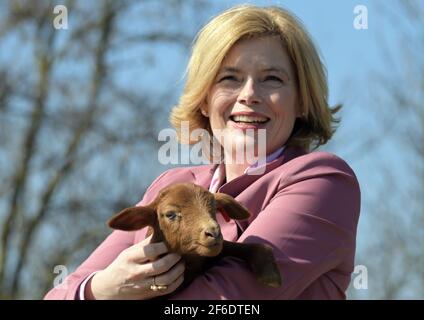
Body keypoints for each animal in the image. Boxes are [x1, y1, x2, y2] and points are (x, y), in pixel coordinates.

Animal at [107, 181, 284, 292]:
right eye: (170, 214)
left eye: (214, 207)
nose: (214, 232)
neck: (192, 263)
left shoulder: (218, 250)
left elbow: (255, 246)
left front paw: (270, 276)